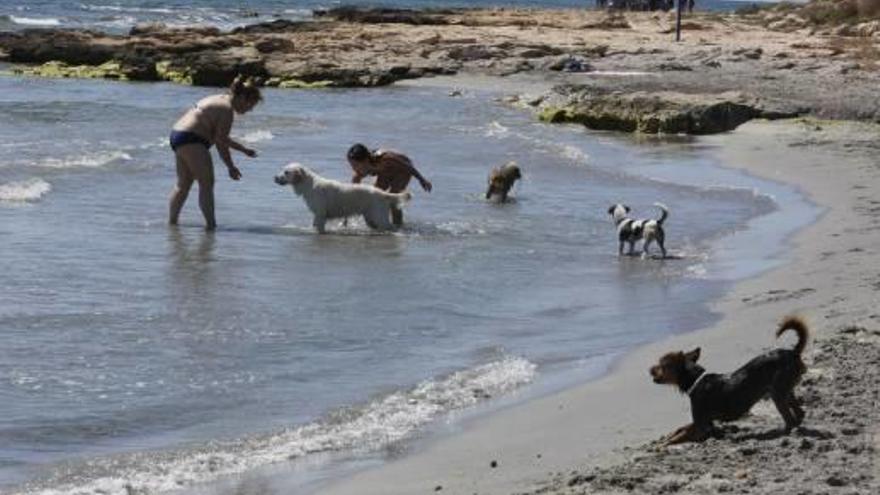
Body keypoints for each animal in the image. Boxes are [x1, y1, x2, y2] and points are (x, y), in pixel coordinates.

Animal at [274, 162, 410, 233]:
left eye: (286, 172)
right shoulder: (318, 215)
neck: (309, 184)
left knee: (390, 227)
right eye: (283, 170)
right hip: (370, 217)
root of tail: (382, 193)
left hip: (379, 216)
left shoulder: (320, 214)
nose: (275, 177)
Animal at [648, 316, 812, 448]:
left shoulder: (701, 426)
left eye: (662, 365)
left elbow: (679, 436)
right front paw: (667, 437)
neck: (695, 380)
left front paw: (663, 444)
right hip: (785, 390)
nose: (649, 369)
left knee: (790, 418)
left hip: (777, 393)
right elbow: (680, 429)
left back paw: (783, 432)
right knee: (799, 412)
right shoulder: (703, 423)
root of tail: (793, 352)